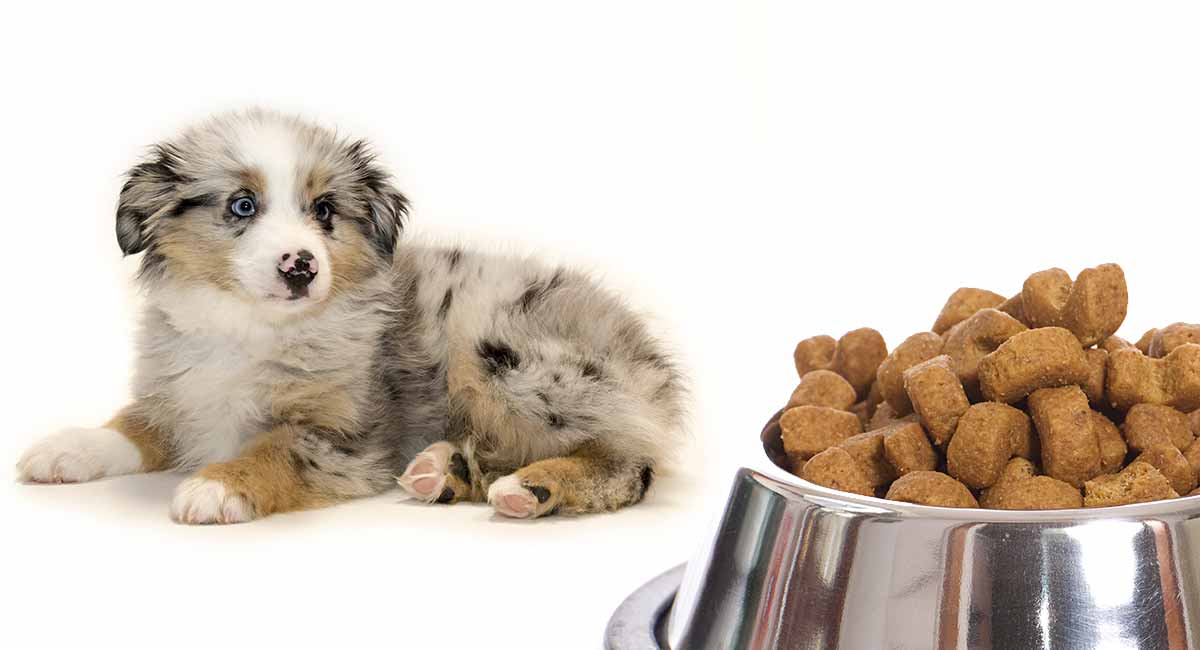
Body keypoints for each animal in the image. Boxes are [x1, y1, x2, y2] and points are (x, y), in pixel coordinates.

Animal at [14, 108, 686, 525]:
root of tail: (653, 364)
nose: (301, 267)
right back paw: (444, 471)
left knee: (630, 462)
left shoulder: (347, 436)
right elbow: (135, 424)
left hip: (512, 355)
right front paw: (68, 448)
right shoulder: (179, 392)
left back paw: (531, 487)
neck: (248, 328)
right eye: (242, 205)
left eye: (324, 211)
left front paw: (219, 484)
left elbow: (279, 448)